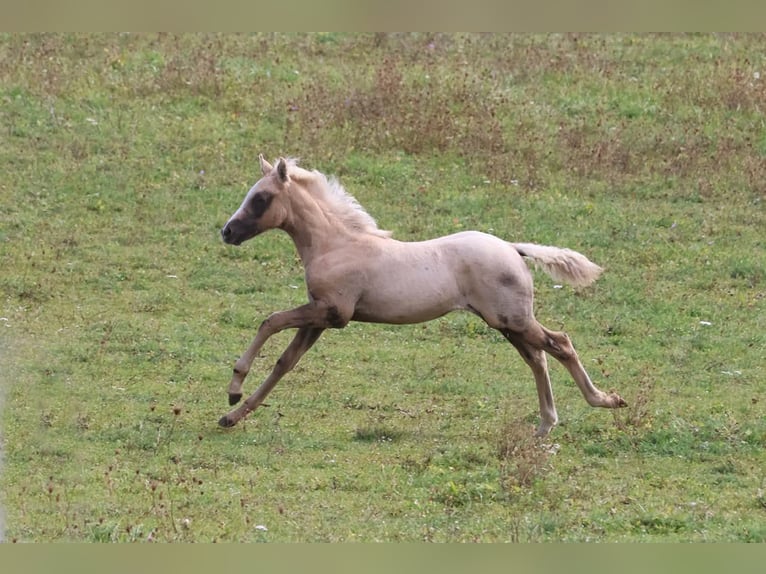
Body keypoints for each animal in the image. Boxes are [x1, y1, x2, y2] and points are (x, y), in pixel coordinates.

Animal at [218, 155, 626, 437]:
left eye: (260, 198)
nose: (227, 232)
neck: (335, 245)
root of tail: (513, 248)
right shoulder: (321, 318)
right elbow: (285, 362)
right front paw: (232, 414)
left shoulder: (331, 312)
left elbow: (270, 322)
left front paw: (234, 389)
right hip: (508, 324)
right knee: (539, 358)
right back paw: (545, 425)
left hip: (513, 320)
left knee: (561, 344)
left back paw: (605, 400)